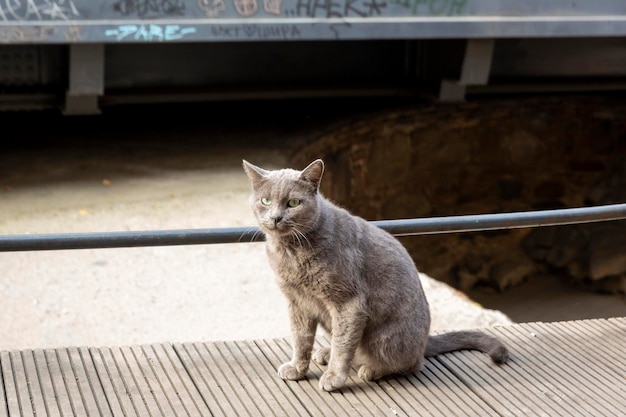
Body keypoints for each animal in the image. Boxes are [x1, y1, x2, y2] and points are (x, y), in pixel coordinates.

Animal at [240, 158, 508, 390]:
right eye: (265, 200)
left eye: (293, 203)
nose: (276, 217)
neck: (291, 252)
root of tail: (424, 342)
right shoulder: (298, 303)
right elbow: (300, 339)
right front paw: (297, 368)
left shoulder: (348, 302)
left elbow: (343, 344)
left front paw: (334, 378)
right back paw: (325, 352)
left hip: (384, 338)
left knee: (409, 363)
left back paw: (371, 369)